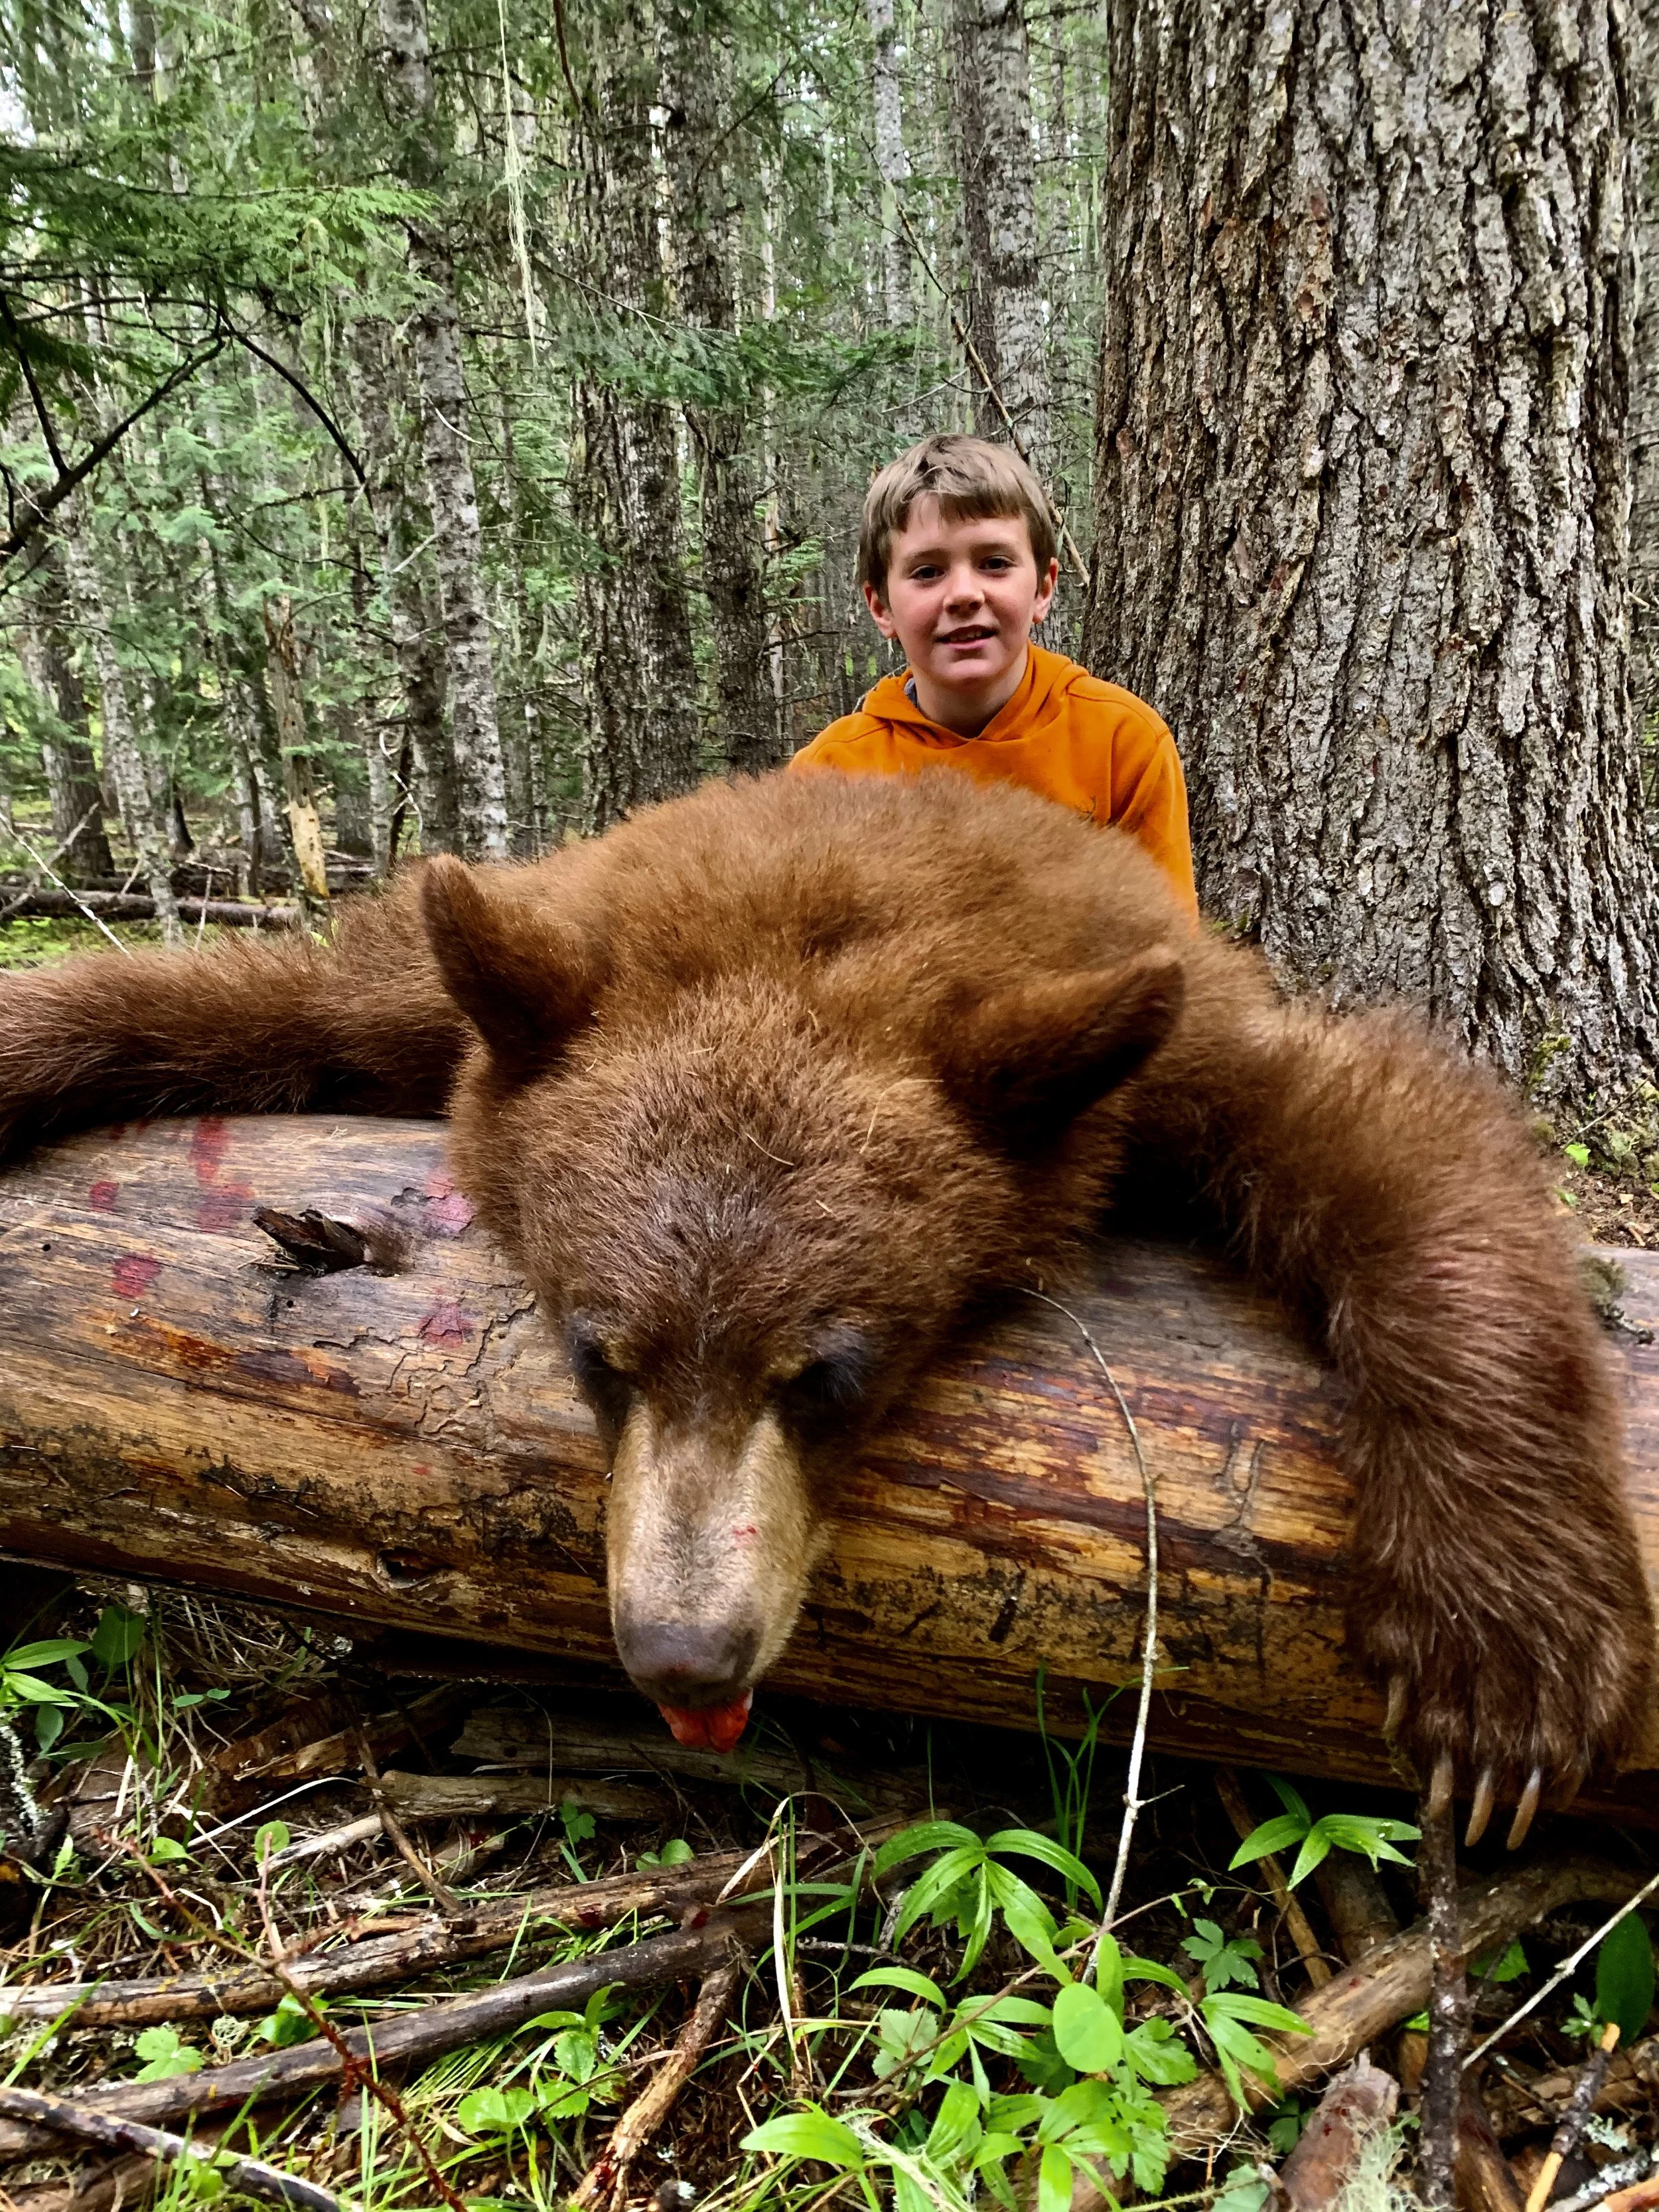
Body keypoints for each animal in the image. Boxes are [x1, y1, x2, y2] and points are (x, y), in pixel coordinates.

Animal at [0, 767, 1650, 1842]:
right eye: (603, 1352)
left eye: (828, 1372)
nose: (683, 1653)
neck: (822, 906)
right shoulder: (509, 993)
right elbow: (262, 998)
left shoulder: (1147, 1033)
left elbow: (1385, 1137)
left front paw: (1501, 1657)